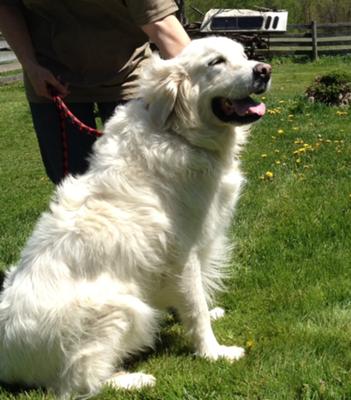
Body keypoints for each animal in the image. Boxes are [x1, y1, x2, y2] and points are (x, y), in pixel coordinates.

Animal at [0, 36, 272, 396]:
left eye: (244, 55)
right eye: (216, 62)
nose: (264, 70)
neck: (177, 133)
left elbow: (195, 300)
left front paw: (207, 317)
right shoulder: (182, 255)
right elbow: (195, 307)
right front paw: (213, 352)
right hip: (120, 307)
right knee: (76, 383)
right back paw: (133, 379)